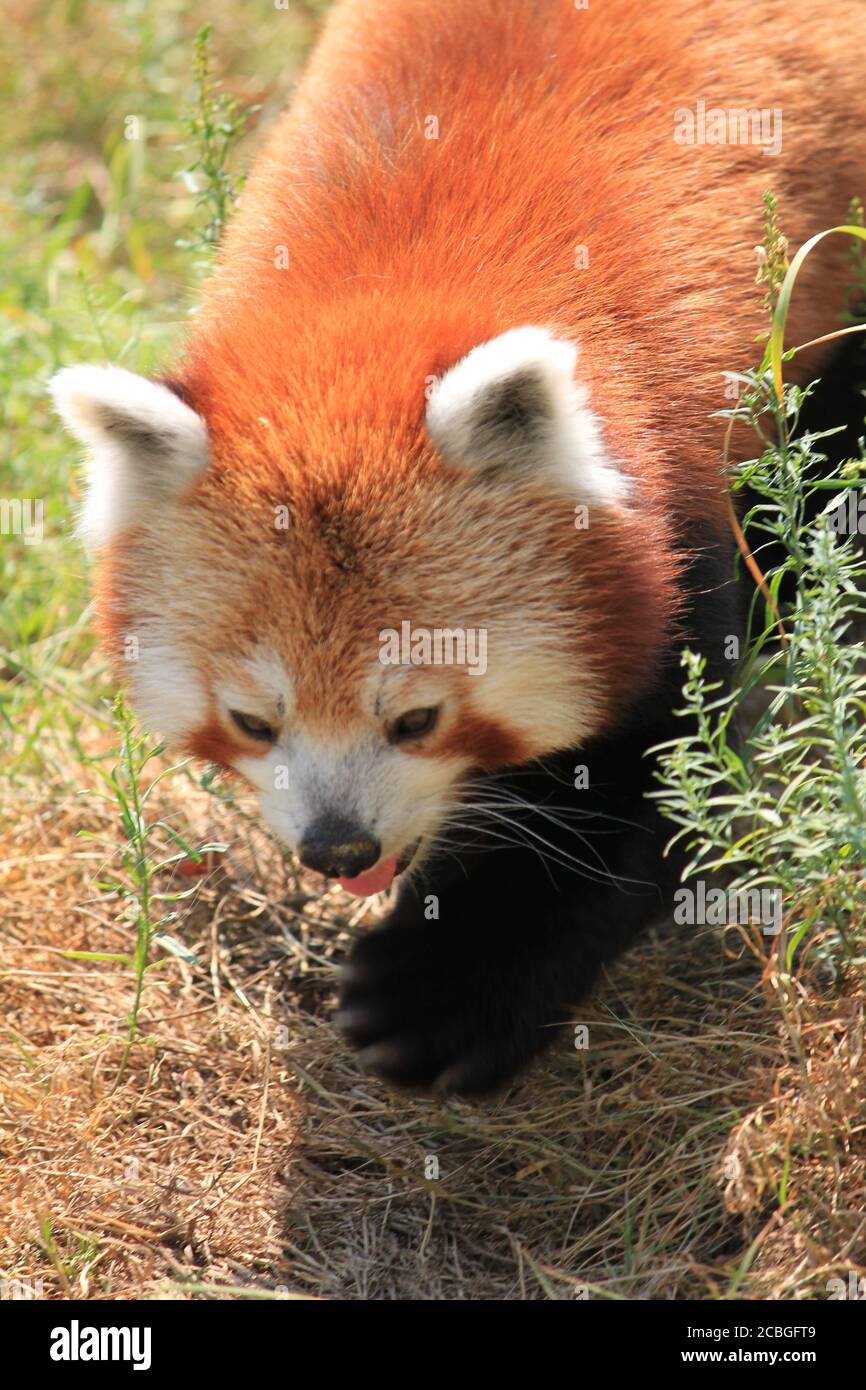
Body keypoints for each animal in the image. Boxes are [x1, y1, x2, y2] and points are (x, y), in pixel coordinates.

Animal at [52, 2, 866, 1095]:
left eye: (419, 718)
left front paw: (446, 989)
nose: (337, 848)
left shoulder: (675, 497)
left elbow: (647, 774)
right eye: (252, 722)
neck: (392, 279)